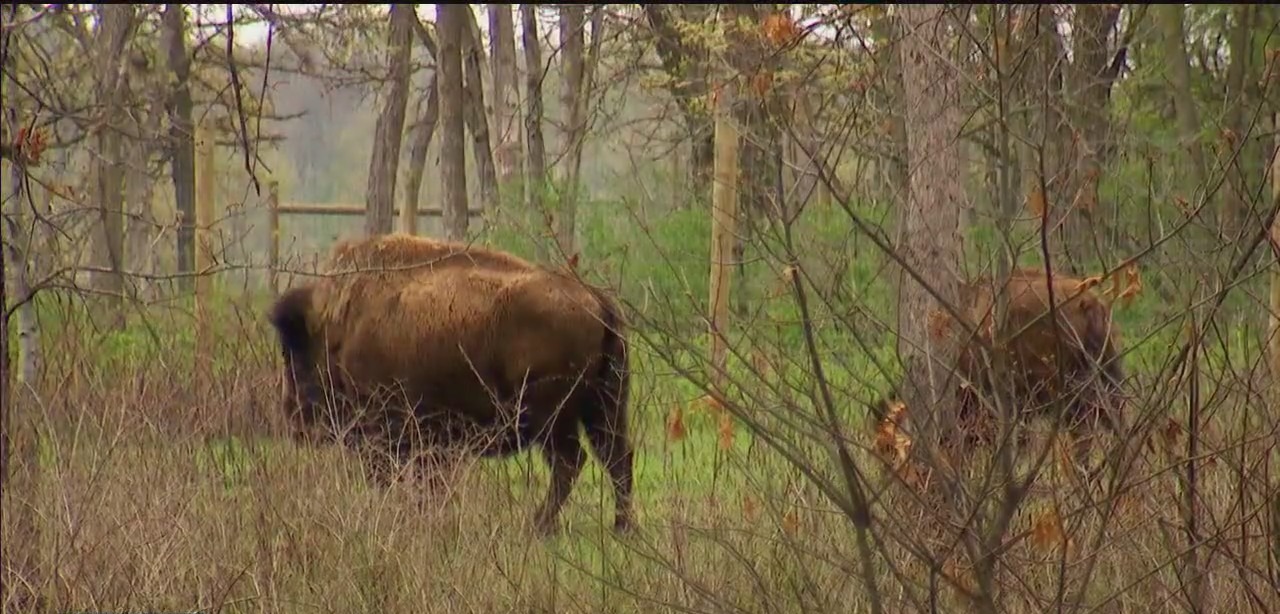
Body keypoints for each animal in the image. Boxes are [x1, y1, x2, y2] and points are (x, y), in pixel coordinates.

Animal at [267, 234, 633, 534]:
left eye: (294, 351)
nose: (293, 418)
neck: (339, 325)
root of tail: (595, 299)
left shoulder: (386, 433)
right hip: (604, 407)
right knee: (616, 456)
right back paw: (621, 527)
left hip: (552, 419)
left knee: (571, 462)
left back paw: (539, 525)